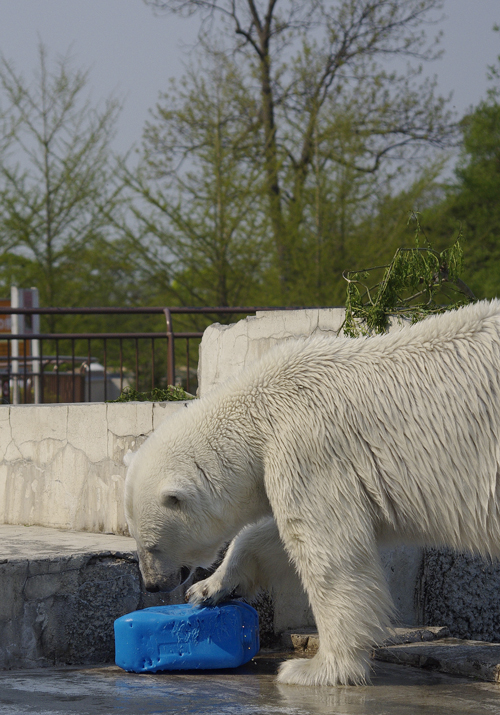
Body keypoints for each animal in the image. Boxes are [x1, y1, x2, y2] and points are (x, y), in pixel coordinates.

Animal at [125, 300, 500, 684]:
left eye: (152, 545)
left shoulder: (312, 448)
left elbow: (327, 547)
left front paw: (316, 668)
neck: (260, 413)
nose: (152, 584)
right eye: (136, 538)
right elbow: (272, 534)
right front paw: (209, 588)